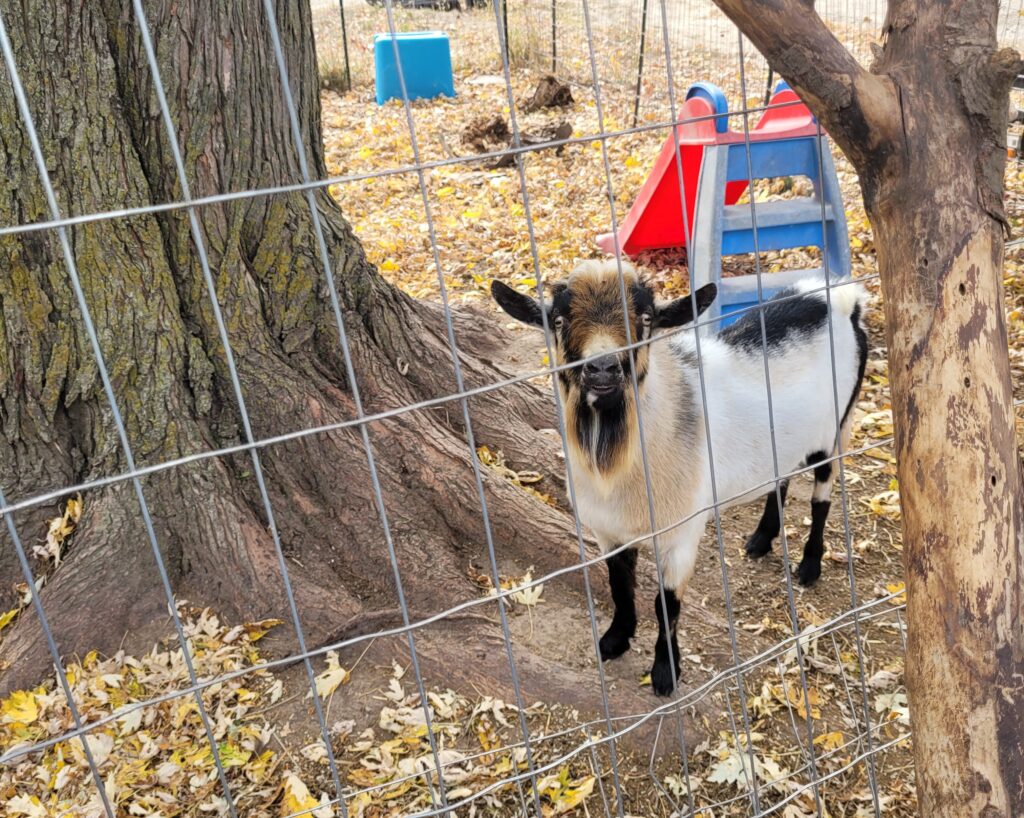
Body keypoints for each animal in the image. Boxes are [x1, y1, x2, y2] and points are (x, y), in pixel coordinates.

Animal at [491, 260, 868, 696]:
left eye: (646, 318)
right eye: (557, 319)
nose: (603, 367)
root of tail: (841, 298)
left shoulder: (683, 532)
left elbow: (665, 604)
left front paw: (665, 672)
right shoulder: (608, 530)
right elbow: (620, 584)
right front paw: (614, 640)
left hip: (837, 426)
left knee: (822, 492)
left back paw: (808, 566)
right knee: (782, 476)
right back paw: (761, 538)